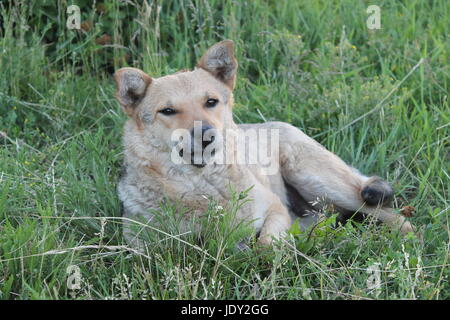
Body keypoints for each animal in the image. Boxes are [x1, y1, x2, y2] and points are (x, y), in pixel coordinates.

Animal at [114, 40, 414, 249]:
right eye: (167, 111)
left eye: (211, 102)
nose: (206, 135)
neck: (202, 186)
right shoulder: (138, 240)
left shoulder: (274, 208)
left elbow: (266, 246)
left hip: (322, 182)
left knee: (386, 212)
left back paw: (405, 237)